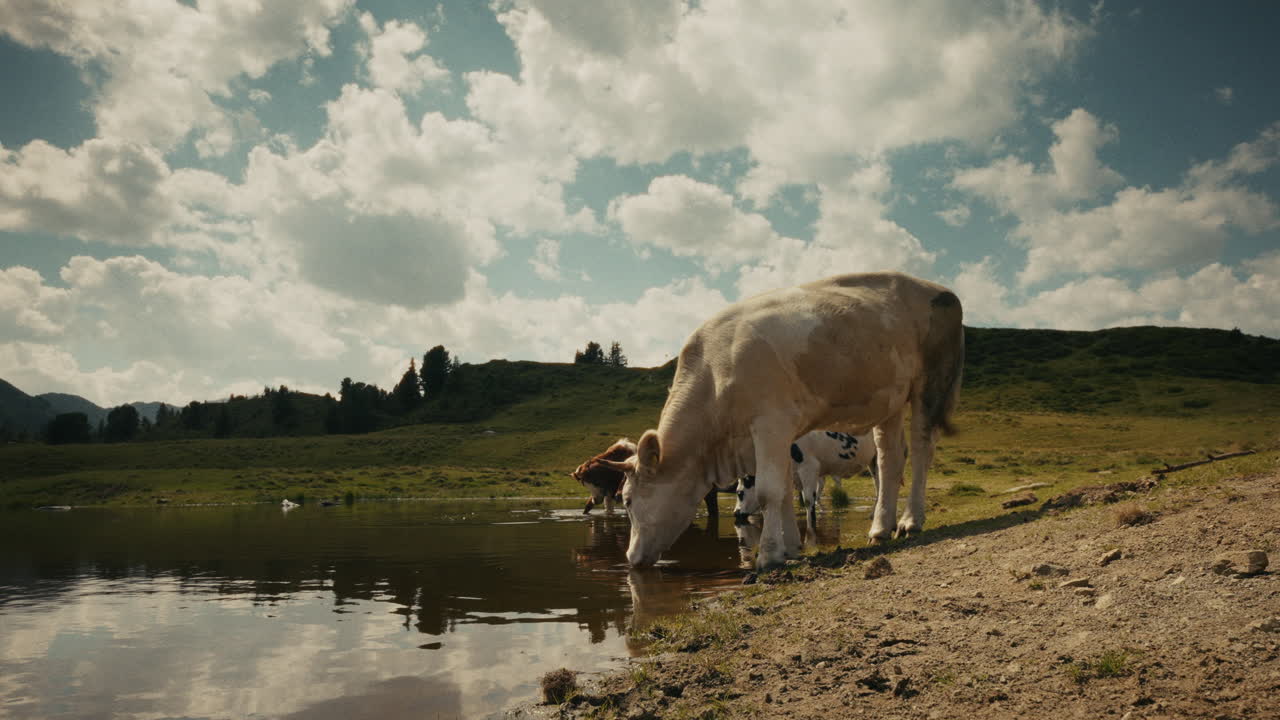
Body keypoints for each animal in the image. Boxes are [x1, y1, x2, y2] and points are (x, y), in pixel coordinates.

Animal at [593, 272, 964, 570]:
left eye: (628, 500)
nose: (630, 558)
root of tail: (941, 289)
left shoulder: (770, 424)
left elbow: (770, 491)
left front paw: (769, 556)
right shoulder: (779, 435)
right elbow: (786, 491)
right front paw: (792, 548)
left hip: (930, 382)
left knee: (921, 449)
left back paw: (911, 521)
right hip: (889, 397)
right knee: (890, 458)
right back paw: (880, 528)